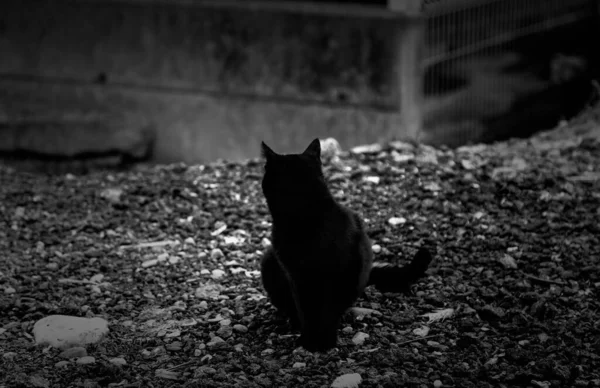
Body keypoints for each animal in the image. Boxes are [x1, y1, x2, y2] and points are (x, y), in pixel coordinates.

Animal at [260, 139, 434, 352]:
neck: (304, 216)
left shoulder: (337, 271)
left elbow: (325, 309)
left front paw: (321, 342)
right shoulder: (298, 276)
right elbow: (308, 309)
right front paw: (314, 340)